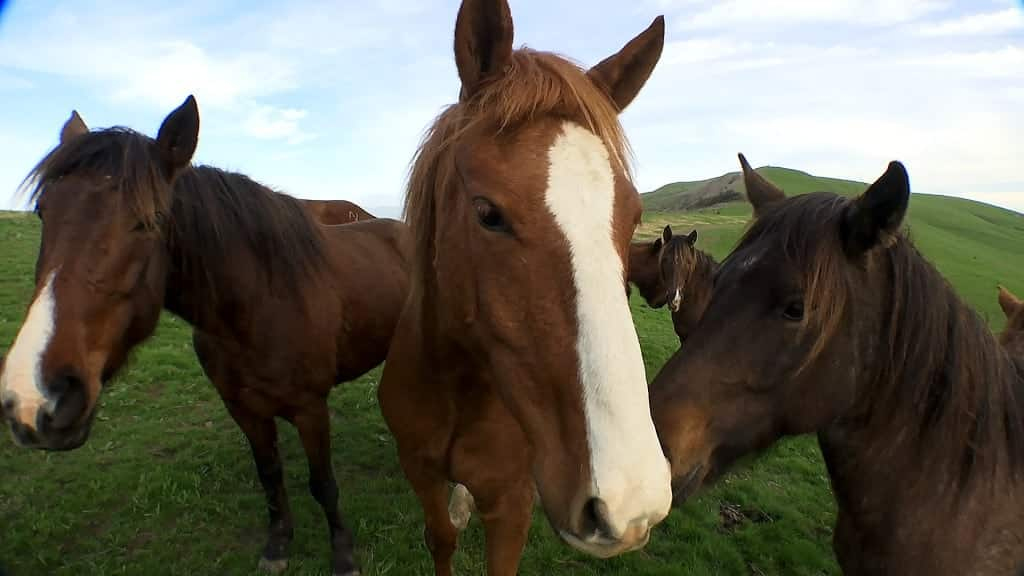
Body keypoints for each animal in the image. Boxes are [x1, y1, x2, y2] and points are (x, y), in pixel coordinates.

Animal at [0, 98, 411, 576]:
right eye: (43, 212)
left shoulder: (310, 408)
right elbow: (270, 477)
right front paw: (278, 545)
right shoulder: (243, 408)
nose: (34, 396)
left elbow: (323, 483)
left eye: (150, 220)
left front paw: (343, 555)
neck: (261, 302)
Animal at [376, 0, 672, 573]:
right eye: (488, 213)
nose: (629, 503)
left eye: (633, 218)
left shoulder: (512, 504)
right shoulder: (417, 469)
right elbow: (440, 537)